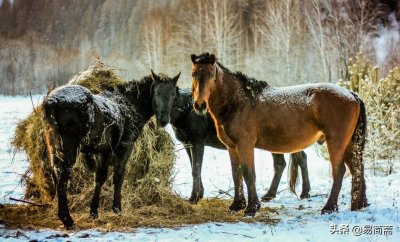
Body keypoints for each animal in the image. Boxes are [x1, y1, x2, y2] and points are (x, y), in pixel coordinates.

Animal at [42, 70, 180, 229]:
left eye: (173, 95)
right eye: (156, 93)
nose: (163, 120)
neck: (131, 105)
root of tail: (52, 103)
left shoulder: (103, 151)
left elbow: (99, 178)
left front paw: (94, 211)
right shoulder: (124, 146)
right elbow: (117, 175)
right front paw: (116, 208)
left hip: (53, 147)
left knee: (55, 174)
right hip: (70, 148)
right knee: (63, 178)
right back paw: (68, 220)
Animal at [152, 87, 310, 204]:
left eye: (172, 96)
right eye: (154, 95)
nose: (161, 119)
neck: (183, 113)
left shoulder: (198, 141)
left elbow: (196, 169)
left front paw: (194, 198)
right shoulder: (187, 143)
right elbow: (194, 168)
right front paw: (199, 194)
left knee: (296, 159)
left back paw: (303, 193)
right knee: (285, 162)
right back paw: (272, 195)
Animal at [191, 52, 368, 216]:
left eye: (211, 75)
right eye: (194, 74)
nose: (199, 105)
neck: (239, 102)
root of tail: (351, 95)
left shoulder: (245, 144)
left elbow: (248, 173)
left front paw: (251, 208)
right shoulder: (231, 147)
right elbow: (237, 174)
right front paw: (237, 205)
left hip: (336, 142)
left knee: (339, 171)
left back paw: (329, 207)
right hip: (349, 144)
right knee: (357, 169)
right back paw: (359, 205)